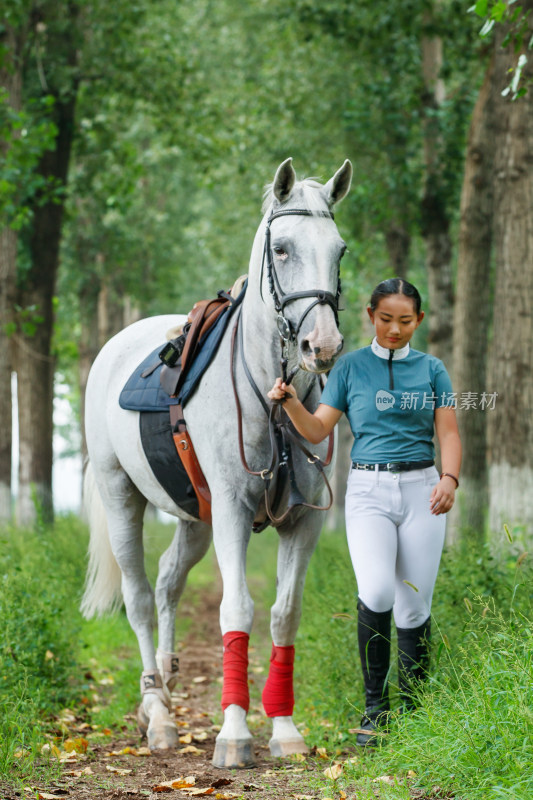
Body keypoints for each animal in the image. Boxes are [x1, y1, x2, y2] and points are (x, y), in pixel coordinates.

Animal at [82, 158, 350, 768]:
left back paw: (163, 685)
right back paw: (157, 717)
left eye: (340, 250)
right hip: (121, 496)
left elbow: (284, 613)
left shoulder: (304, 519)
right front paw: (233, 733)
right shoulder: (232, 509)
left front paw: (284, 730)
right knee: (138, 597)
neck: (273, 399)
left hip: (194, 518)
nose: (321, 347)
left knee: (165, 585)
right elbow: (237, 611)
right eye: (282, 249)